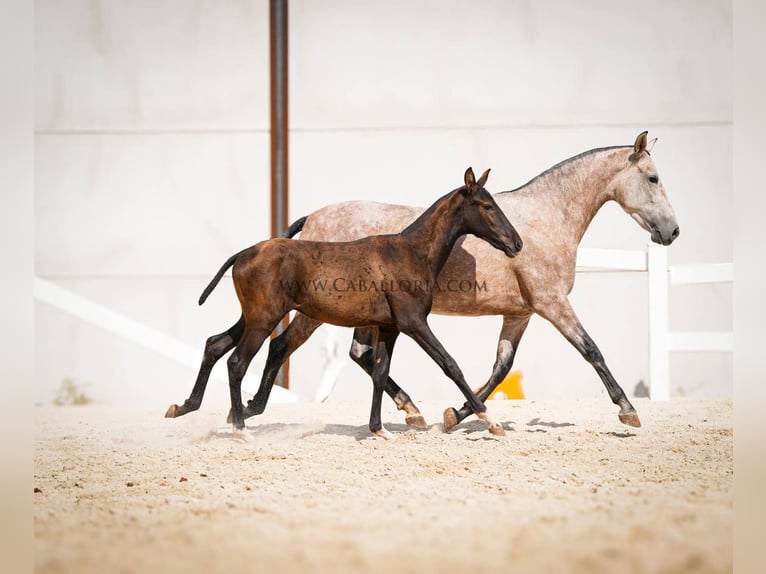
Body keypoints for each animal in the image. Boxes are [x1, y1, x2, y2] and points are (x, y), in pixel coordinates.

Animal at [243, 133, 680, 434]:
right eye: (653, 178)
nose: (672, 232)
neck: (547, 218)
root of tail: (312, 219)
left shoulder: (520, 314)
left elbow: (501, 368)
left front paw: (455, 415)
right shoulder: (552, 303)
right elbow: (592, 350)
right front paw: (628, 410)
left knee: (359, 355)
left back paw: (412, 411)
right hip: (317, 311)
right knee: (284, 346)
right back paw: (251, 408)